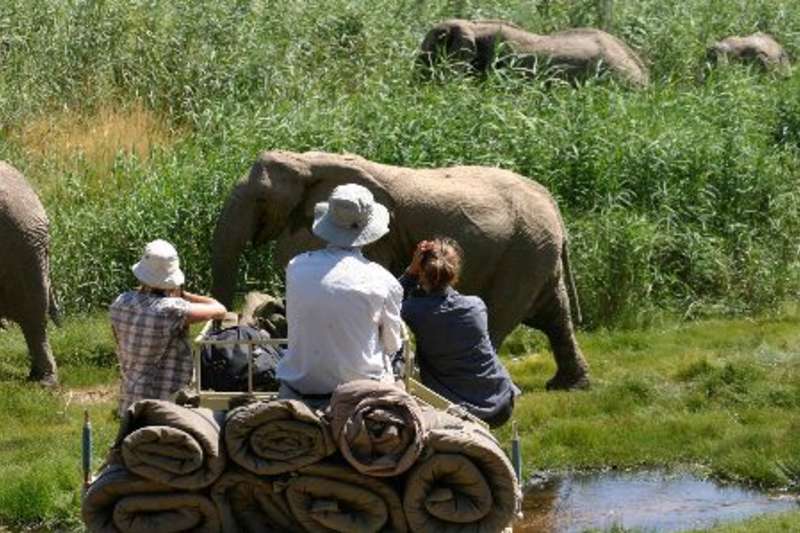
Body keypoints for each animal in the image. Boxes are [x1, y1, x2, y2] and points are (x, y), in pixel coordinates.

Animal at [212, 151, 589, 390]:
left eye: (261, 199)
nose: (222, 337)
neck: (306, 160)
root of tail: (553, 206)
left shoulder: (377, 235)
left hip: (524, 253)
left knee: (501, 315)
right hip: (536, 250)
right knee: (552, 315)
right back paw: (568, 386)